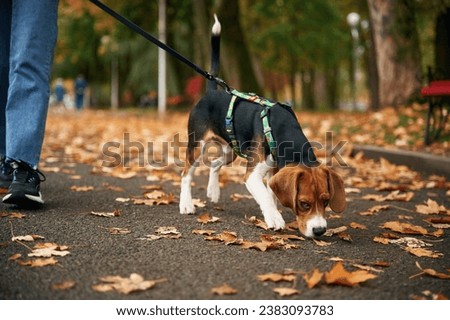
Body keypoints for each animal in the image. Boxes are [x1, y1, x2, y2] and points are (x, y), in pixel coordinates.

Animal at [178, 16, 346, 238]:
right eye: (304, 203)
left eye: (326, 201)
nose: (319, 231)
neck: (282, 130)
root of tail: (211, 92)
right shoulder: (253, 175)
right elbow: (266, 195)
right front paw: (274, 217)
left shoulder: (273, 170)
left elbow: (271, 193)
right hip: (197, 145)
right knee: (186, 174)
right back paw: (186, 204)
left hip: (231, 151)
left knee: (215, 164)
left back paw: (213, 191)